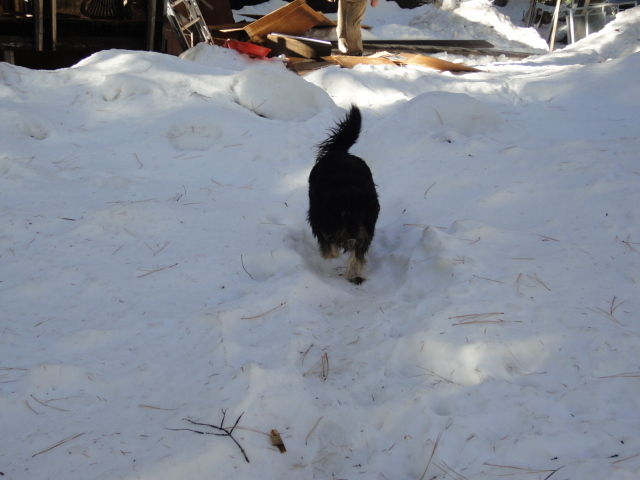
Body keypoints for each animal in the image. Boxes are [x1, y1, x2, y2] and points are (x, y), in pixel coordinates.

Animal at [308, 105, 380, 284]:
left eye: (361, 214)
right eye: (343, 213)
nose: (352, 233)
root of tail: (339, 152)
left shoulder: (365, 229)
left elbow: (358, 254)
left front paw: (354, 273)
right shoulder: (320, 219)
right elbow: (329, 244)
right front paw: (331, 252)